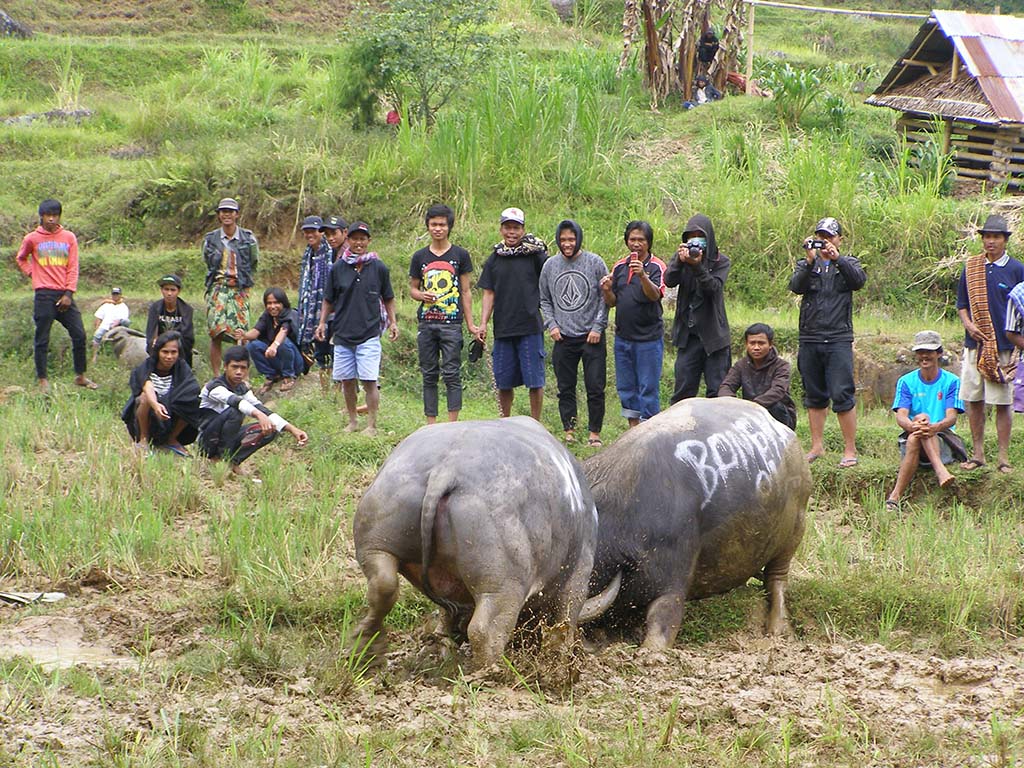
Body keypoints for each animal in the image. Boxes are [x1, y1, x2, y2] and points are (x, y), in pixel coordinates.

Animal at [352, 417, 618, 671]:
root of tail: (446, 471)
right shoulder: (579, 575)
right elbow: (566, 621)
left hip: (376, 541)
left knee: (383, 586)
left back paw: (368, 648)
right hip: (503, 584)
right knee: (485, 630)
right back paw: (491, 673)